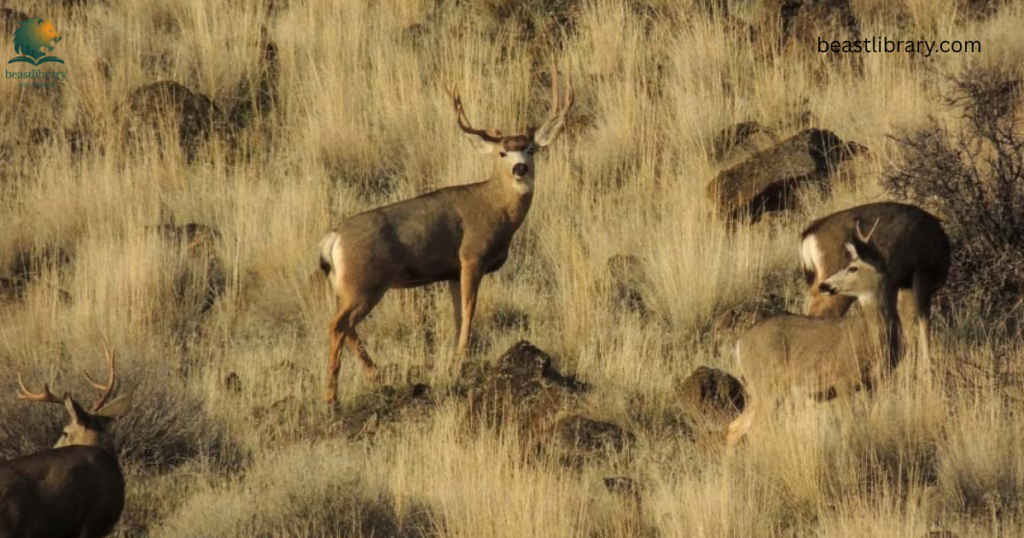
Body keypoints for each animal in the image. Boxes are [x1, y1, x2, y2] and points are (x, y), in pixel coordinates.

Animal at [317, 60, 574, 404]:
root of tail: (333, 240)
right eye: (502, 153)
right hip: (364, 282)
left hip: (345, 286)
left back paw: (375, 373)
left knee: (345, 326)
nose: (520, 168)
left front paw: (454, 358)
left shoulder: (452, 271)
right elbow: (469, 311)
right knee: (337, 325)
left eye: (530, 149)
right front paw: (459, 362)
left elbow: (456, 315)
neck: (495, 207)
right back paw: (332, 396)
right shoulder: (471, 256)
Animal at [726, 220, 903, 453]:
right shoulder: (842, 379)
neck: (874, 337)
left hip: (759, 390)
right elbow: (849, 428)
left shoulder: (879, 381)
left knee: (735, 427)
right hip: (768, 384)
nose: (824, 285)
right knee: (755, 431)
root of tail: (740, 344)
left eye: (853, 268)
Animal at [800, 202, 950, 370]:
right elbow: (922, 325)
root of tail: (808, 235)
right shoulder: (920, 275)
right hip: (832, 283)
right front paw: (926, 369)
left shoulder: (899, 285)